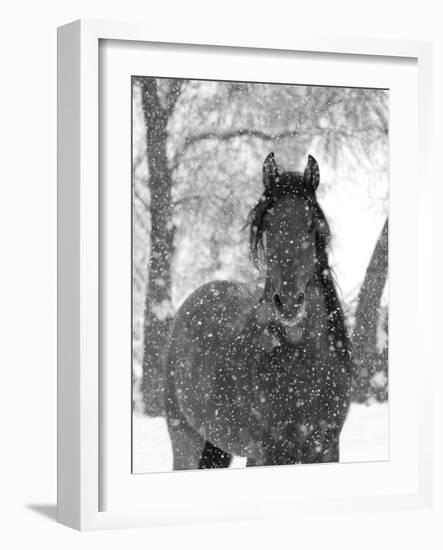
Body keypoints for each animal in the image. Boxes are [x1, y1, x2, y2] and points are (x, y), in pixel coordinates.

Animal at [165, 154, 352, 470]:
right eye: (268, 227)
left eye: (311, 226)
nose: (288, 303)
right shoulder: (272, 453)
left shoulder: (327, 451)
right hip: (186, 442)